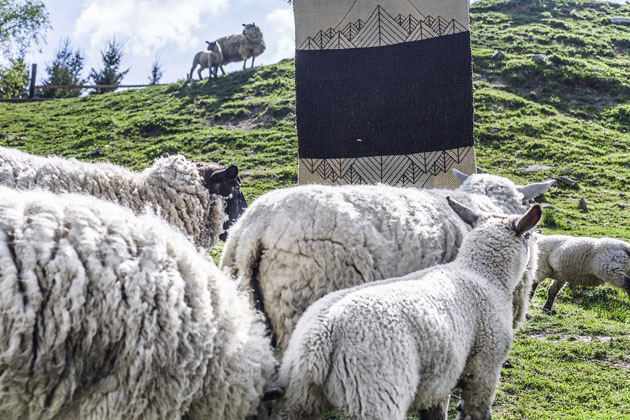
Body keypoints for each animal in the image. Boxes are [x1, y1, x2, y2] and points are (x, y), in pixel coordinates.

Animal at [272, 198, 544, 420]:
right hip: (375, 395)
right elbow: (476, 413)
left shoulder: (440, 377)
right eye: (529, 235)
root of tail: (321, 338)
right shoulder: (485, 365)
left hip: (298, 398)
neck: (482, 274)